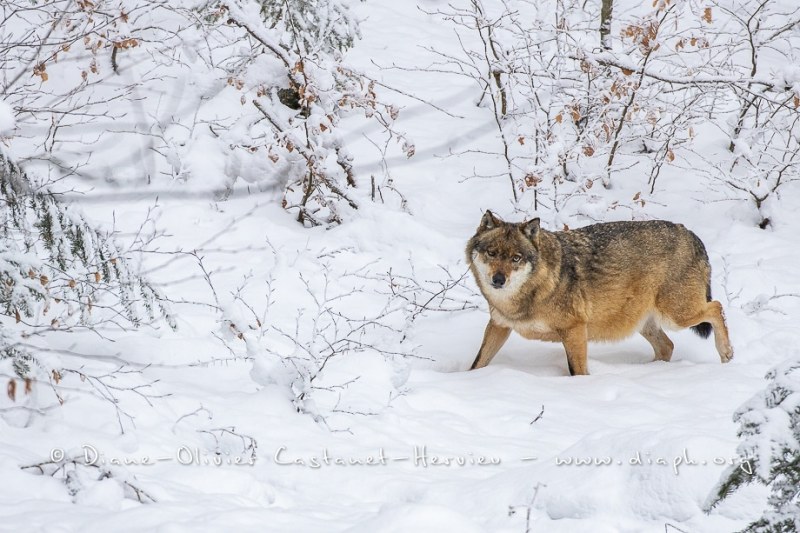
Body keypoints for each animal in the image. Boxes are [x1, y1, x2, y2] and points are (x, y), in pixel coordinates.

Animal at [466, 210, 736, 376]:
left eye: (516, 258)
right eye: (491, 253)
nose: (498, 280)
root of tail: (691, 234)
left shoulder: (574, 329)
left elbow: (577, 370)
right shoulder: (499, 325)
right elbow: (477, 363)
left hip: (677, 316)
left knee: (717, 307)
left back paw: (726, 354)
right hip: (645, 324)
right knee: (667, 346)